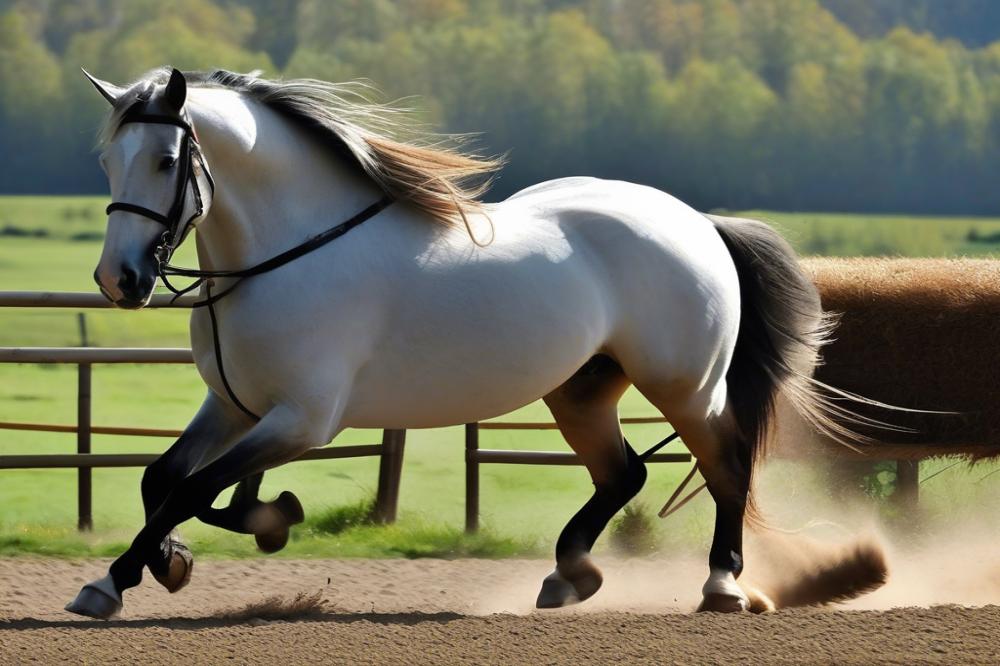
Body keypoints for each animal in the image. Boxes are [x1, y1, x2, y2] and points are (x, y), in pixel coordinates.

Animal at [70, 67, 852, 616]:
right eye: (108, 161)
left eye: (166, 161)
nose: (119, 279)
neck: (287, 254)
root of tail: (698, 221)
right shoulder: (233, 406)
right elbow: (163, 480)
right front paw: (152, 565)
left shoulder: (300, 421)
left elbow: (197, 489)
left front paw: (253, 525)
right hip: (581, 390)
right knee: (623, 474)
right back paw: (569, 575)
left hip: (685, 386)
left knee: (725, 467)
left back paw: (721, 585)